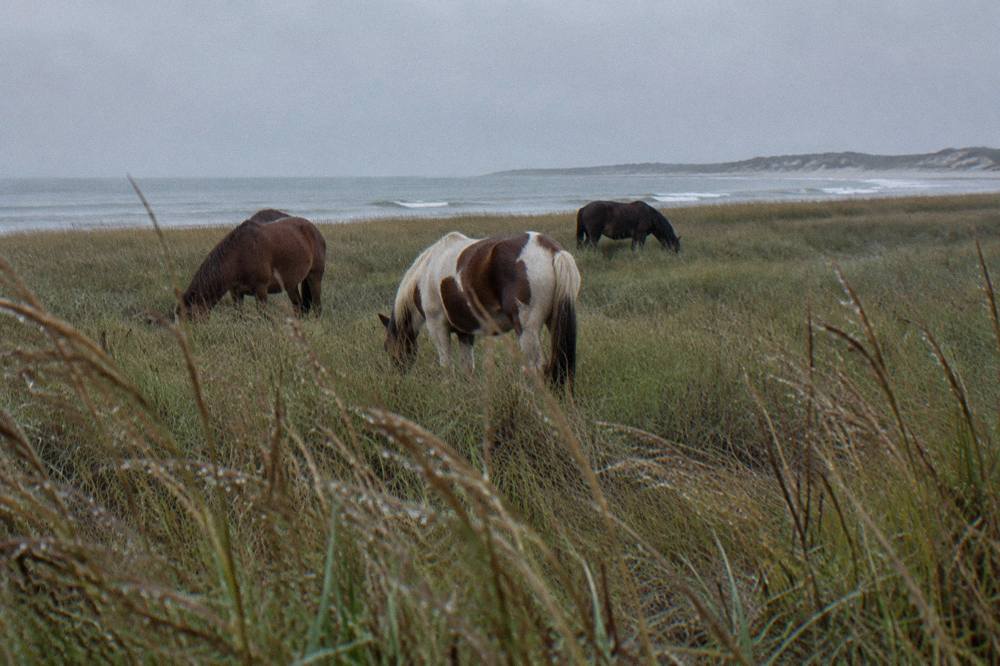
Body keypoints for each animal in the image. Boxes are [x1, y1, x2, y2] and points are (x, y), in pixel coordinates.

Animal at [178, 216, 326, 317]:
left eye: (189, 315)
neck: (239, 254)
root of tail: (314, 230)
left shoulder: (261, 290)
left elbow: (263, 316)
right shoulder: (236, 292)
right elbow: (239, 316)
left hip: (314, 277)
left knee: (317, 306)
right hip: (291, 284)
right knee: (298, 306)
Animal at [379, 231, 581, 391]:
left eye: (387, 346)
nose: (396, 378)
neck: (424, 277)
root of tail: (551, 250)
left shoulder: (437, 326)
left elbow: (446, 364)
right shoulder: (464, 332)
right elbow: (468, 367)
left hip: (527, 329)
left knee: (537, 367)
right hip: (554, 321)